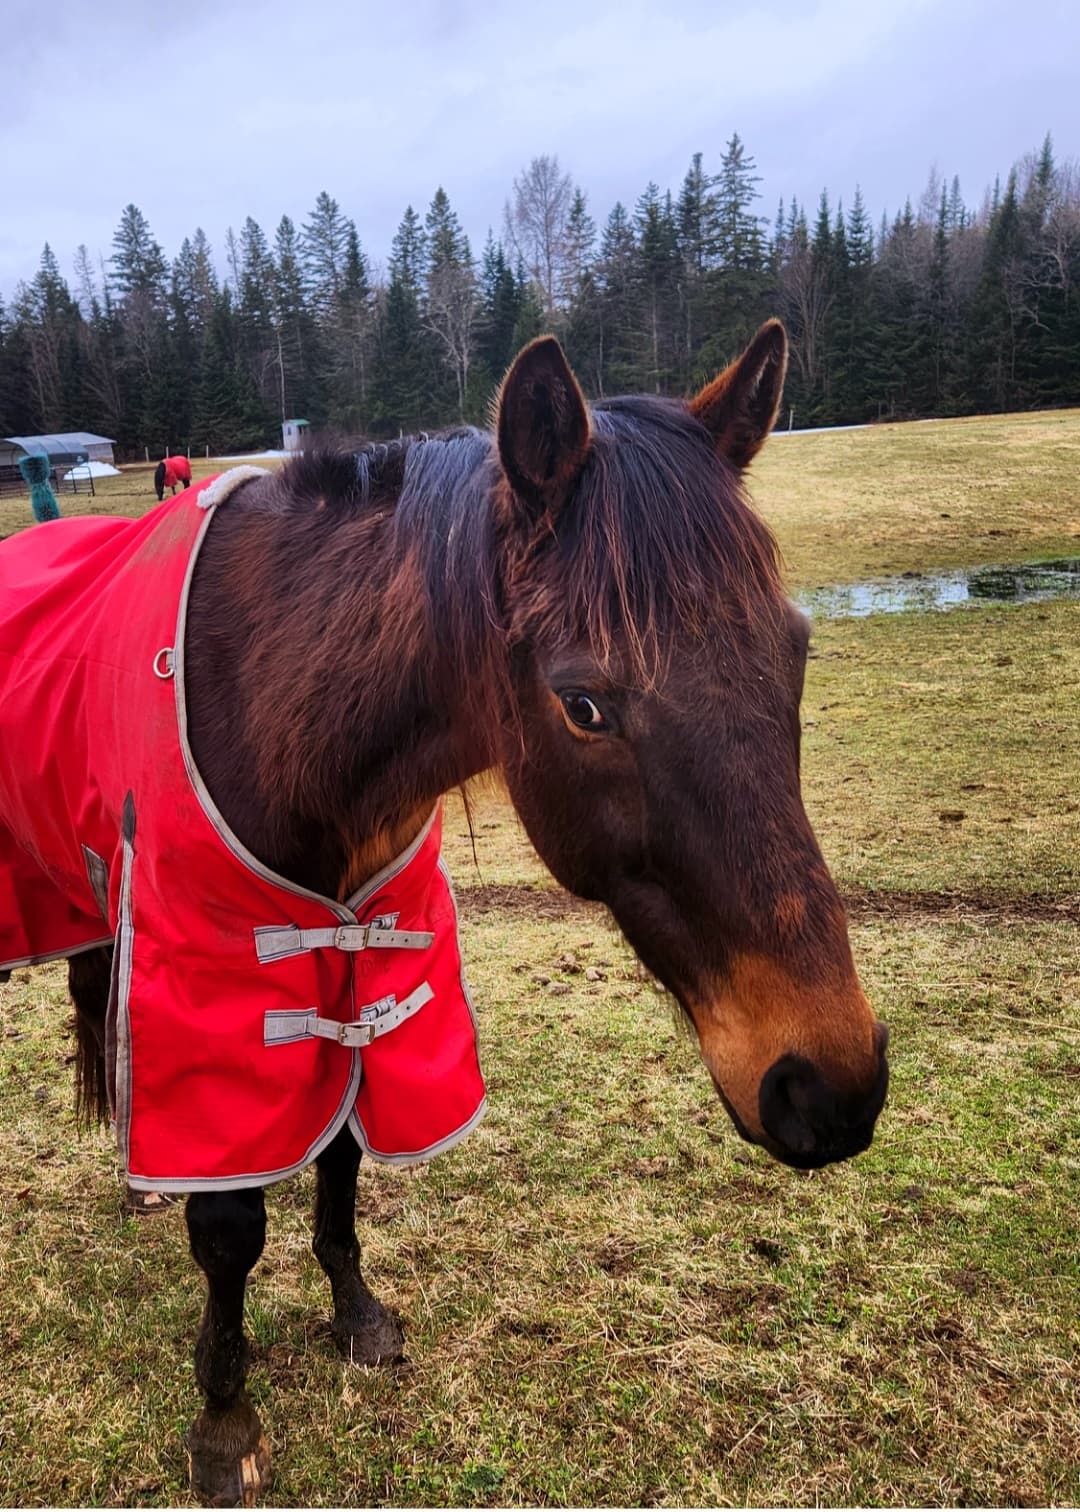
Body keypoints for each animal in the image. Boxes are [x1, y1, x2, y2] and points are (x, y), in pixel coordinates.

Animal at [0, 321, 888, 1504]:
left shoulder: (365, 964)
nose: (831, 1087)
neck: (278, 702)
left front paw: (356, 1315)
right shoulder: (215, 992)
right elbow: (230, 1224)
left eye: (797, 651)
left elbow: (341, 1149)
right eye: (583, 704)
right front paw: (226, 1421)